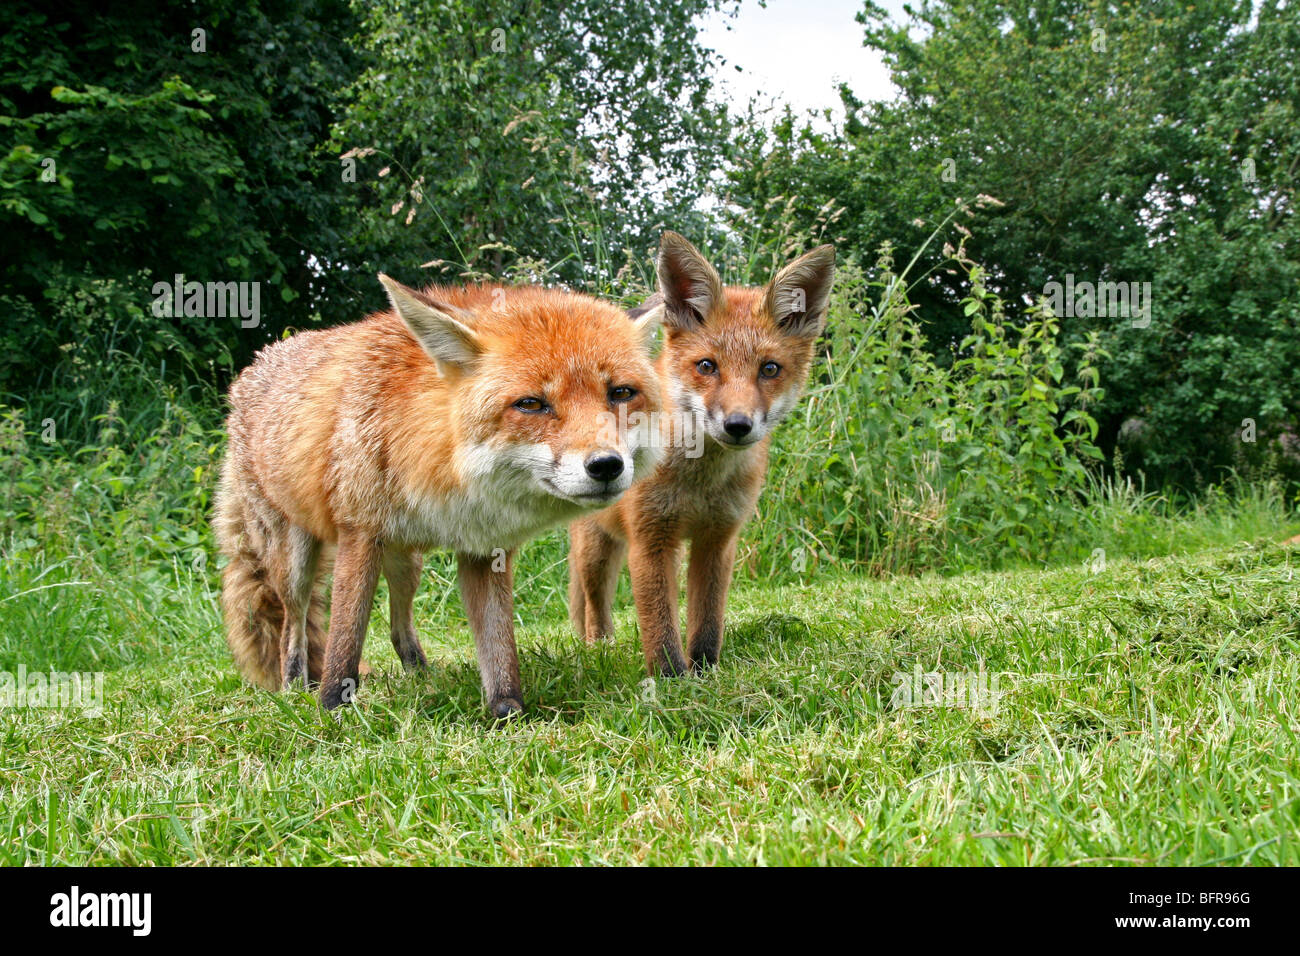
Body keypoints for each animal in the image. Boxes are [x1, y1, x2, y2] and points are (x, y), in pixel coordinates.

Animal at [215, 273, 660, 712]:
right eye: (531, 404)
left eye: (620, 392)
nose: (606, 466)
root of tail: (254, 364)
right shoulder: (359, 533)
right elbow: (345, 639)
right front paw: (332, 711)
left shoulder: (485, 547)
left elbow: (498, 649)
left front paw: (508, 715)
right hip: (295, 561)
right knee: (293, 623)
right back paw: (294, 687)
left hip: (405, 560)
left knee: (400, 622)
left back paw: (421, 674)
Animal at [569, 231, 832, 676]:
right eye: (707, 366)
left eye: (770, 369)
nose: (738, 425)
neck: (701, 482)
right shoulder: (651, 540)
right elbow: (659, 625)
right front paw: (671, 680)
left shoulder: (718, 540)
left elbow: (708, 619)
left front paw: (705, 672)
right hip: (596, 550)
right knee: (593, 605)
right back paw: (598, 648)